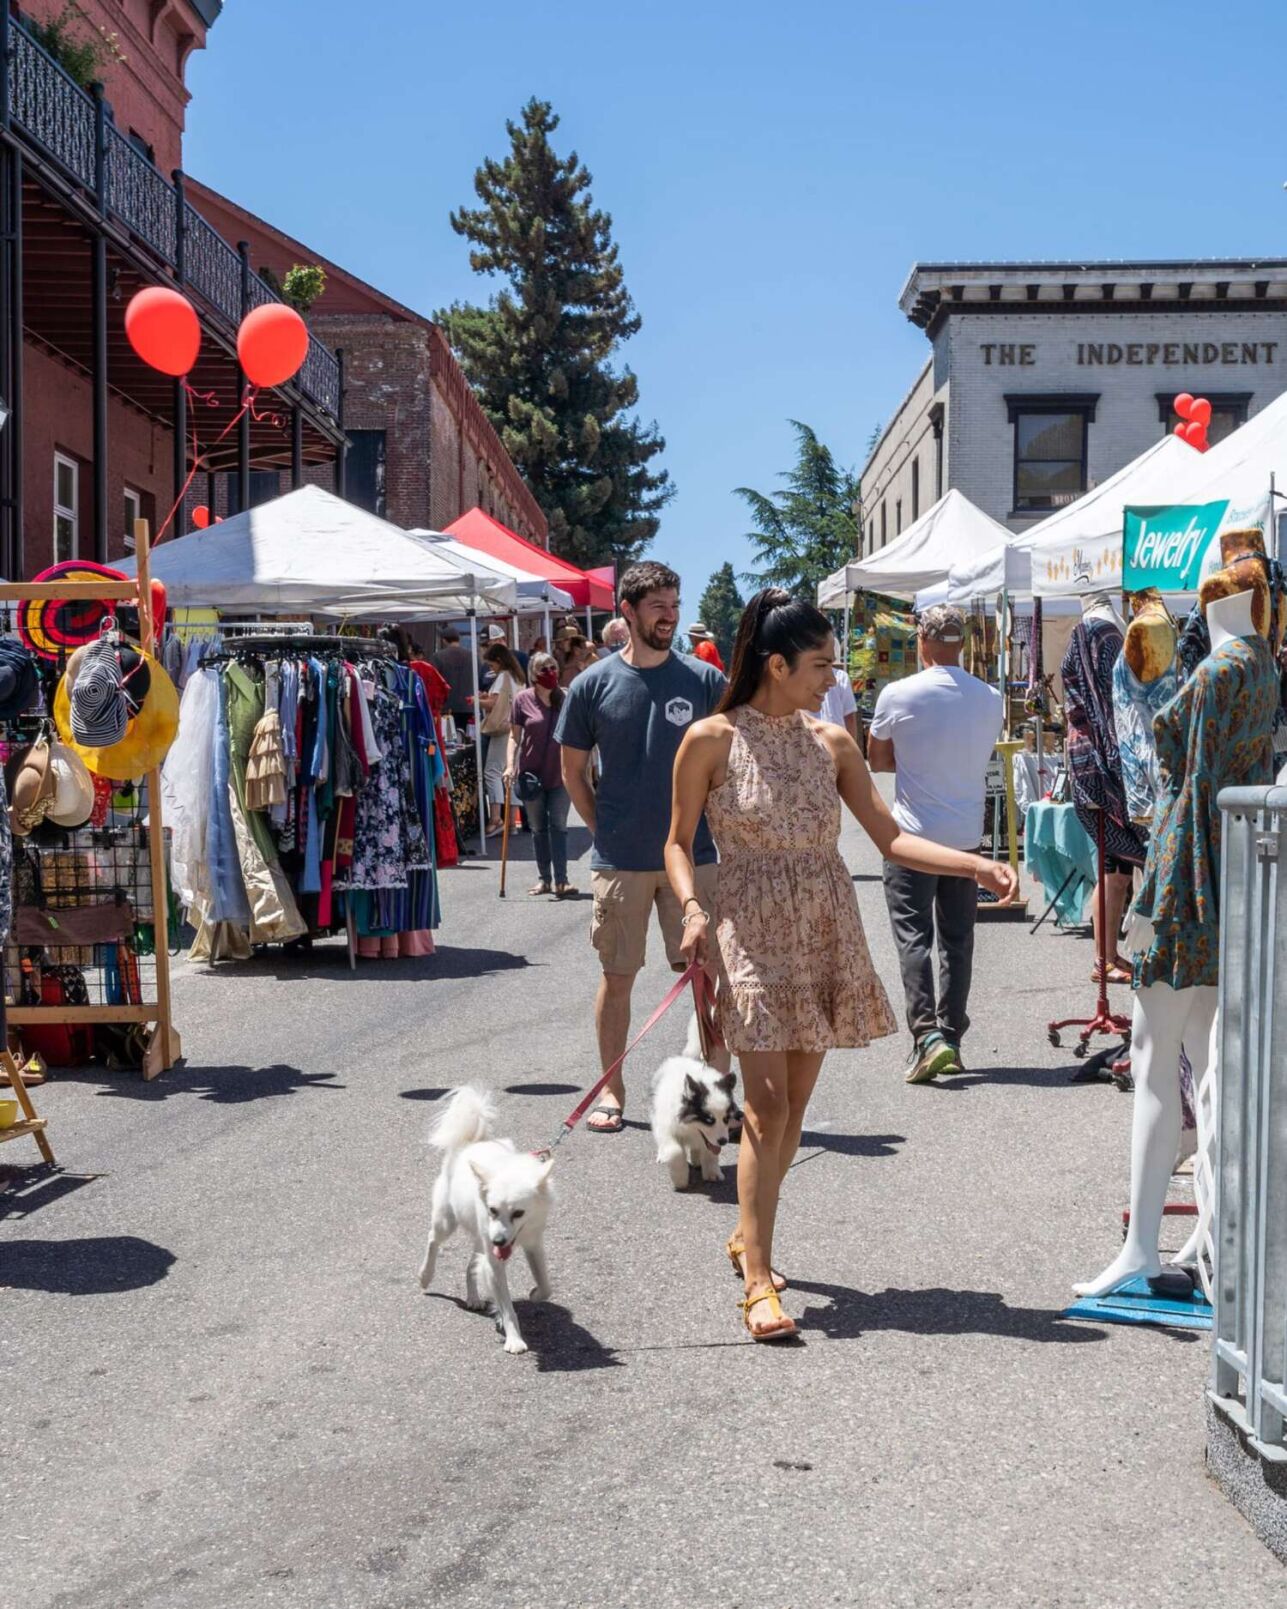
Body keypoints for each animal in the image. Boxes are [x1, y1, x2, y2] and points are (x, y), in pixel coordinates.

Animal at [415, 1081, 550, 1357]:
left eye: (518, 1213)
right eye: (492, 1210)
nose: (498, 1241)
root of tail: (470, 1143)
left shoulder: (533, 1243)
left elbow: (546, 1285)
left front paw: (534, 1293)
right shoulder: (495, 1259)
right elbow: (506, 1306)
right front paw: (514, 1339)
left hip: (480, 1236)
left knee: (471, 1265)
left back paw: (474, 1298)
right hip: (448, 1221)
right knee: (433, 1240)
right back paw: (425, 1275)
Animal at [649, 1010, 740, 1190]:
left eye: (726, 1119)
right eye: (709, 1120)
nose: (724, 1141)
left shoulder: (711, 1139)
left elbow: (711, 1151)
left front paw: (712, 1173)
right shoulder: (666, 1127)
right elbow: (675, 1151)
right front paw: (680, 1179)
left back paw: (697, 1160)